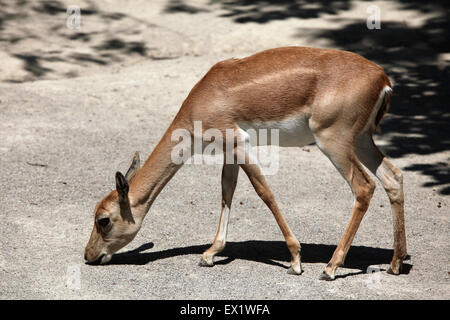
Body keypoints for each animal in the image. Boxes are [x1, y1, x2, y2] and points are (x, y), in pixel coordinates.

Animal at [84, 45, 408, 280]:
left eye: (104, 219)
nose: (88, 255)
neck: (203, 99)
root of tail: (383, 79)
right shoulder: (229, 151)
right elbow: (227, 192)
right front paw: (210, 253)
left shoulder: (240, 143)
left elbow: (264, 192)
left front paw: (295, 260)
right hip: (362, 140)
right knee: (393, 177)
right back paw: (393, 264)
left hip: (334, 142)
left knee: (364, 187)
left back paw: (330, 268)